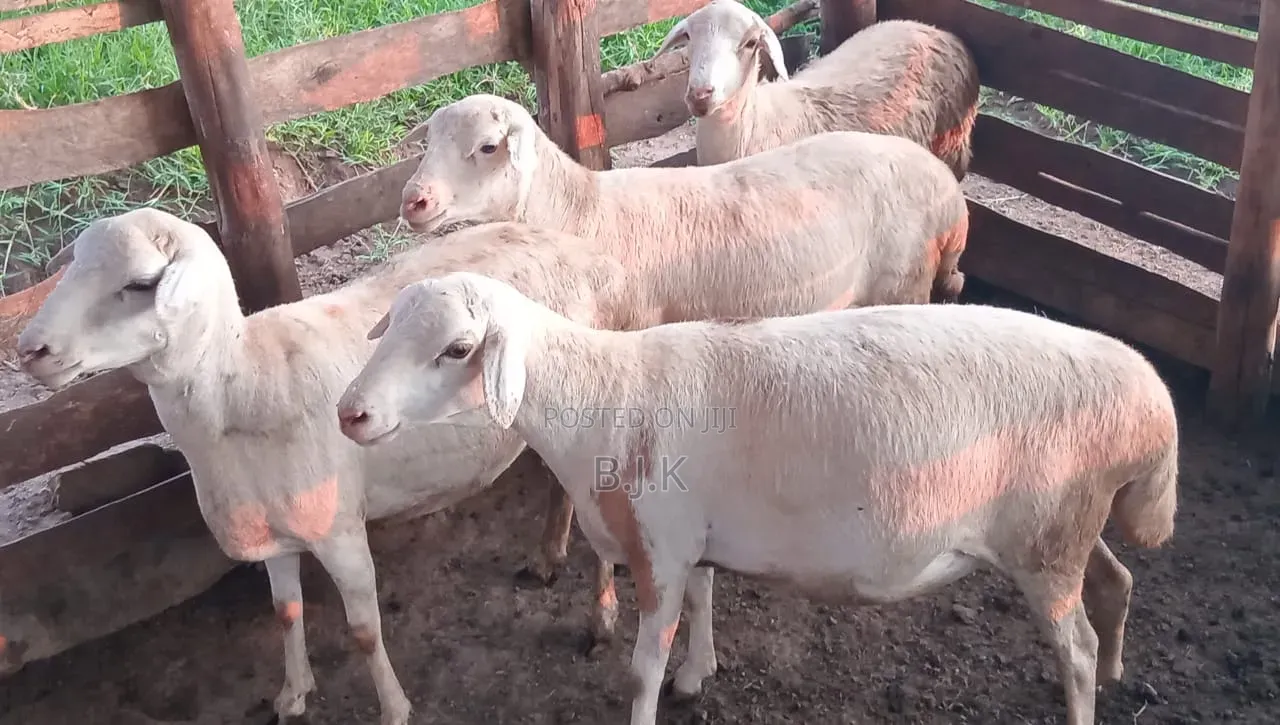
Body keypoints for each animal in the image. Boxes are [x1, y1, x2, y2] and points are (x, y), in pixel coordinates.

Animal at [14, 208, 630, 725]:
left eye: (141, 284)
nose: (30, 351)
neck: (240, 386)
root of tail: (573, 244)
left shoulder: (338, 530)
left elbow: (363, 631)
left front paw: (394, 708)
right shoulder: (273, 532)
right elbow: (285, 611)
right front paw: (292, 695)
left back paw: (601, 619)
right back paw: (548, 557)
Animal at [337, 270, 1179, 725]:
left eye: (457, 349)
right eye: (387, 329)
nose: (351, 413)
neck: (600, 395)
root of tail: (1150, 400)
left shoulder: (661, 546)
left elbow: (641, 666)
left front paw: (660, 687)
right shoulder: (696, 536)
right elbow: (707, 599)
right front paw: (698, 673)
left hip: (1045, 541)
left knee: (1075, 648)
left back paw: (1087, 687)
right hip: (1068, 525)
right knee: (1116, 582)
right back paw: (1118, 672)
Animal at [397, 91, 971, 645]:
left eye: (488, 147)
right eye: (428, 140)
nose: (412, 200)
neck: (581, 218)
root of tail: (949, 190)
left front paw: (598, 607)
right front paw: (548, 553)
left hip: (904, 286)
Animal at [655, 1, 980, 175]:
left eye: (750, 43)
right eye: (688, 37)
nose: (700, 95)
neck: (754, 122)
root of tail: (938, 31)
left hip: (951, 147)